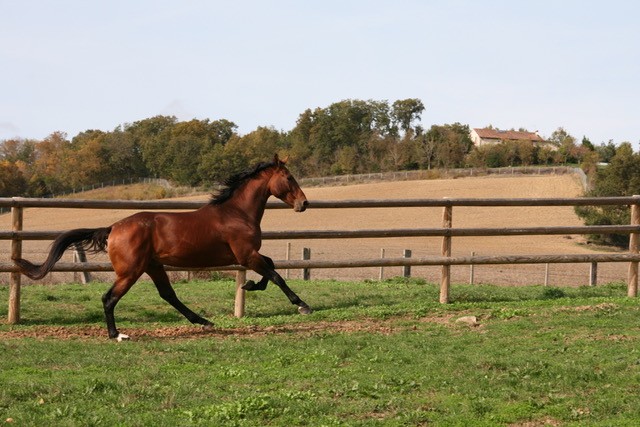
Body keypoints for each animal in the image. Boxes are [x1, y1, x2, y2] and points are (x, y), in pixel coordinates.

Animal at [13, 154, 311, 341]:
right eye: (289, 177)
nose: (304, 204)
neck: (236, 212)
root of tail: (113, 228)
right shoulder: (246, 255)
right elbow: (276, 275)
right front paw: (302, 305)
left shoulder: (248, 255)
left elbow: (271, 266)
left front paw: (249, 285)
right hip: (131, 272)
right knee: (109, 298)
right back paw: (117, 334)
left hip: (153, 266)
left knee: (168, 295)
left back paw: (203, 321)